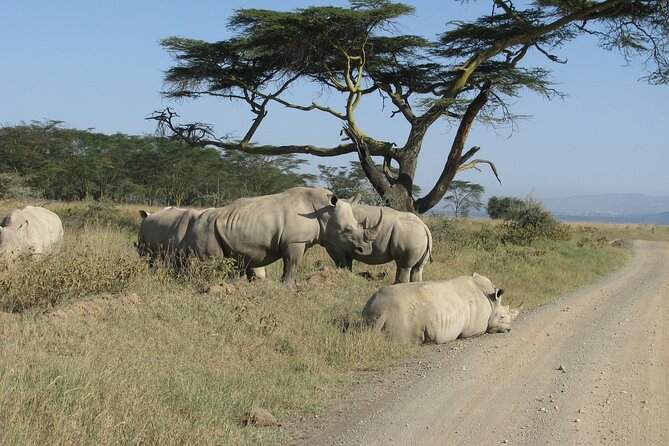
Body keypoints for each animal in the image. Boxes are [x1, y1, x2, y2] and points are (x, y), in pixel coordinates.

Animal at [183, 187, 382, 286]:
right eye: (347, 230)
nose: (366, 250)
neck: (324, 211)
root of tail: (195, 220)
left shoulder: (297, 241)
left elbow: (292, 264)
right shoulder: (294, 241)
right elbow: (291, 263)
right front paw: (289, 287)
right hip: (205, 228)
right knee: (211, 262)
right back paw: (208, 284)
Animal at [362, 273, 521, 344]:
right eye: (502, 317)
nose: (509, 329)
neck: (491, 301)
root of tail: (381, 313)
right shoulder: (474, 329)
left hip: (374, 309)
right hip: (401, 316)